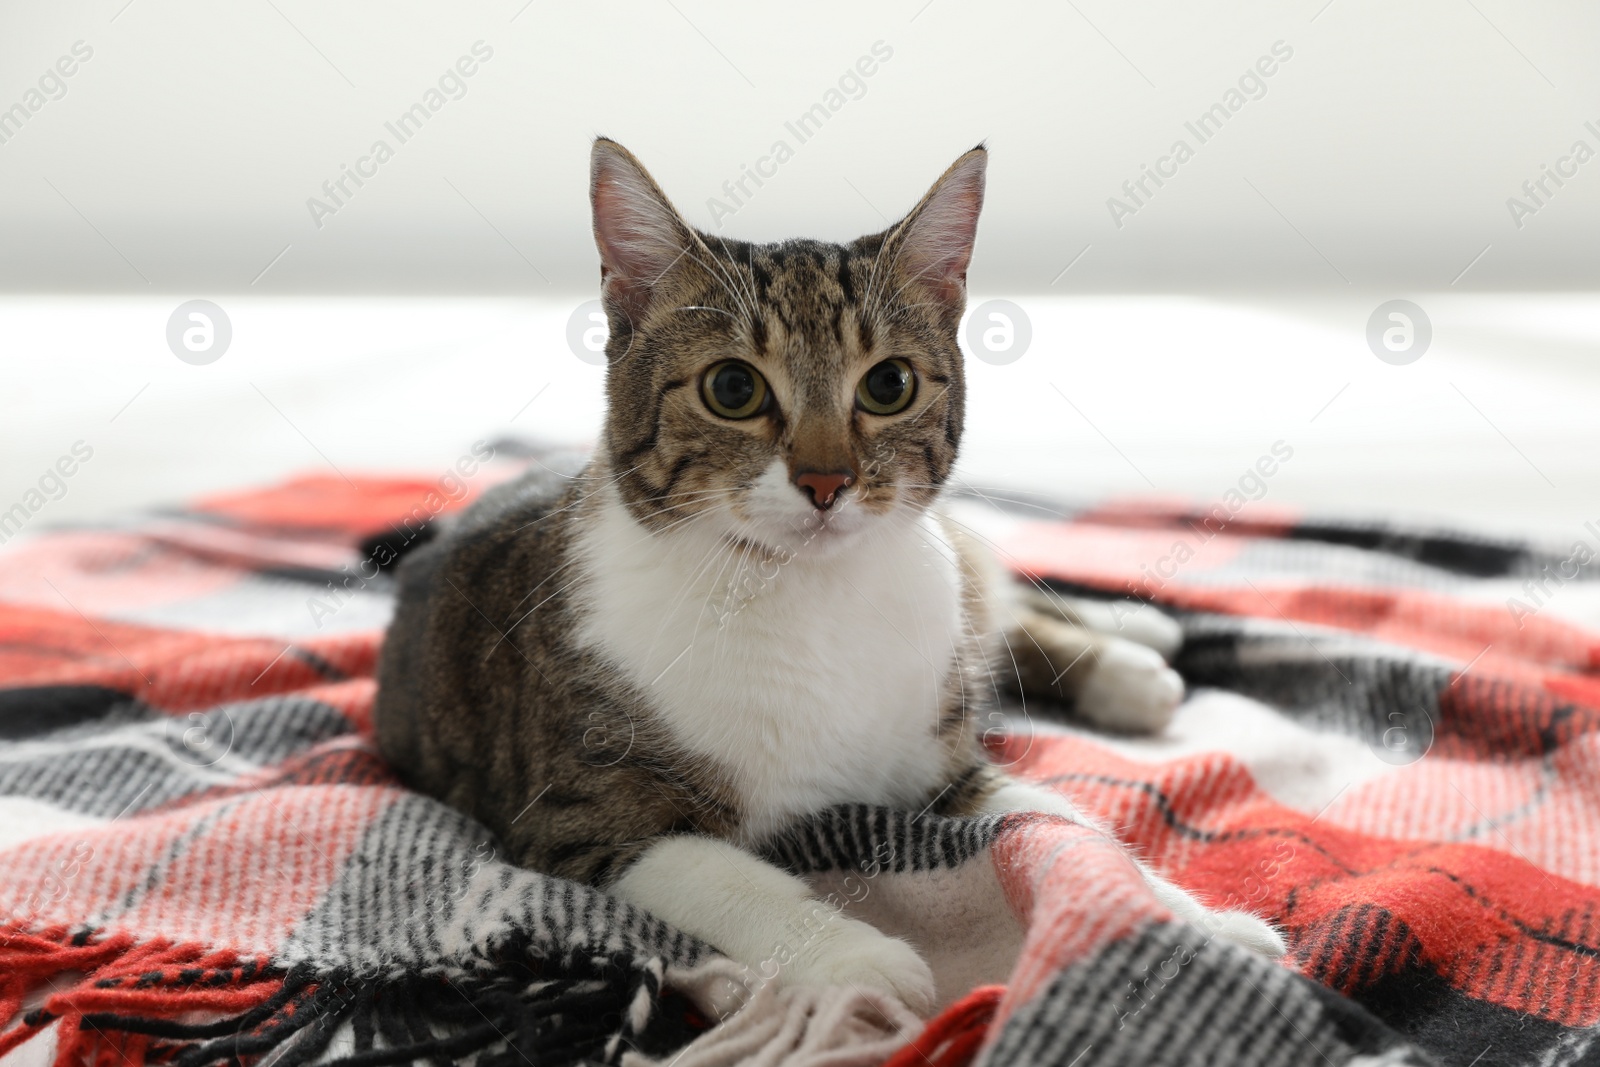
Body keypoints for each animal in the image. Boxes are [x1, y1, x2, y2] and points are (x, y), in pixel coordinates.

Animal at [377, 135, 1286, 1017]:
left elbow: (1064, 827)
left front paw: (1192, 922)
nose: (825, 481)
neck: (808, 597)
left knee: (989, 590)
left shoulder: (943, 763)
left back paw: (1135, 646)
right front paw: (856, 956)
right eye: (732, 387)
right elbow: (724, 874)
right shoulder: (584, 815)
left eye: (889, 383)